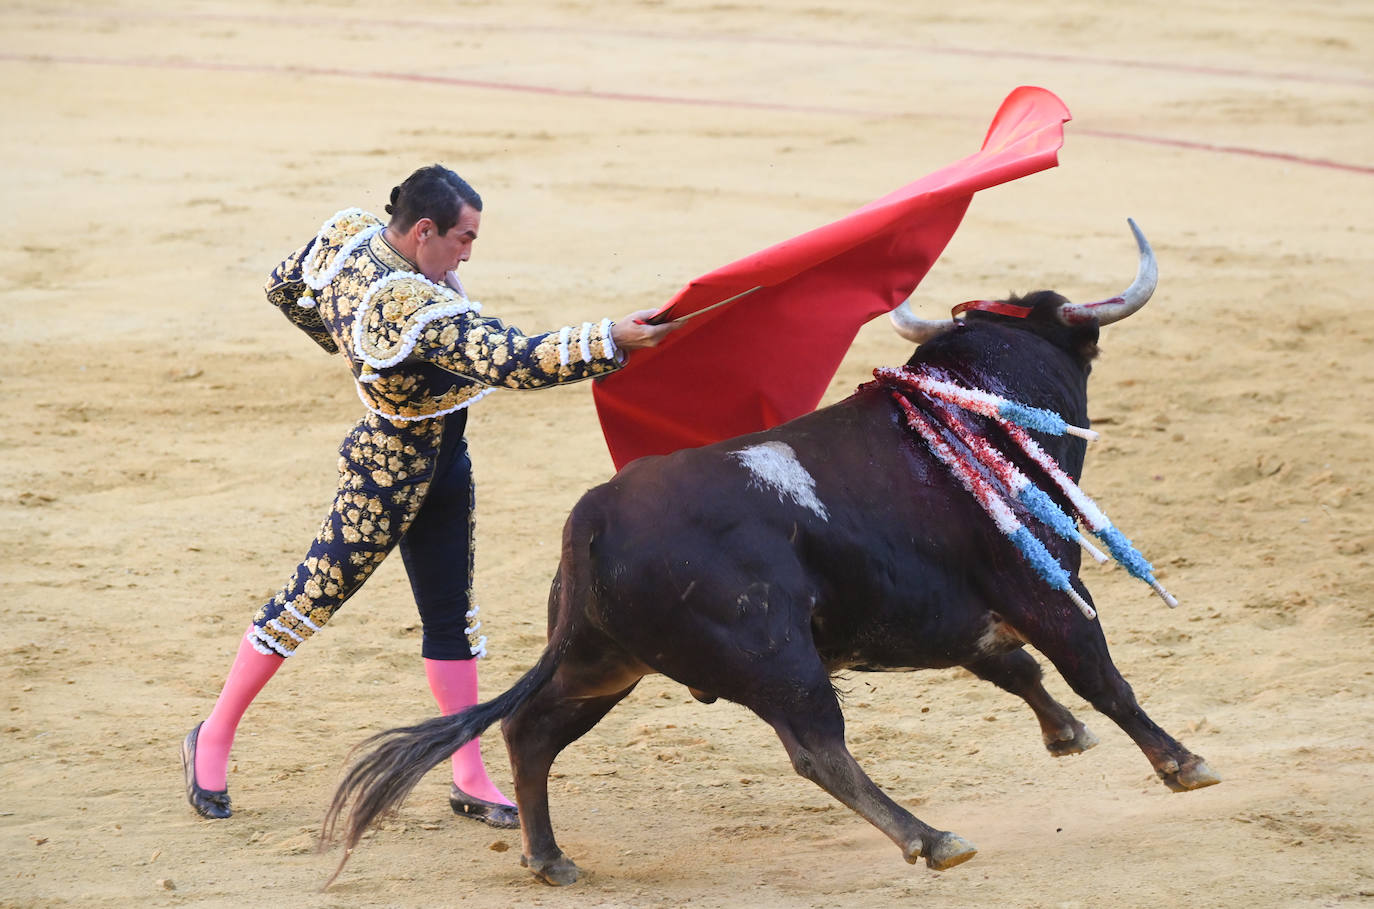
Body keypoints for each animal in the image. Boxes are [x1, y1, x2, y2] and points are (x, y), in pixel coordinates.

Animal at [324, 222, 1225, 889]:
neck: (970, 405)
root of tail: (593, 516)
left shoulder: (954, 614)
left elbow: (1017, 667)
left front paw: (1067, 734)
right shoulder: (1047, 585)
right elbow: (1097, 672)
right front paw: (1184, 762)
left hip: (603, 659)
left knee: (533, 728)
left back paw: (548, 857)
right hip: (774, 656)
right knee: (817, 747)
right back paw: (931, 837)